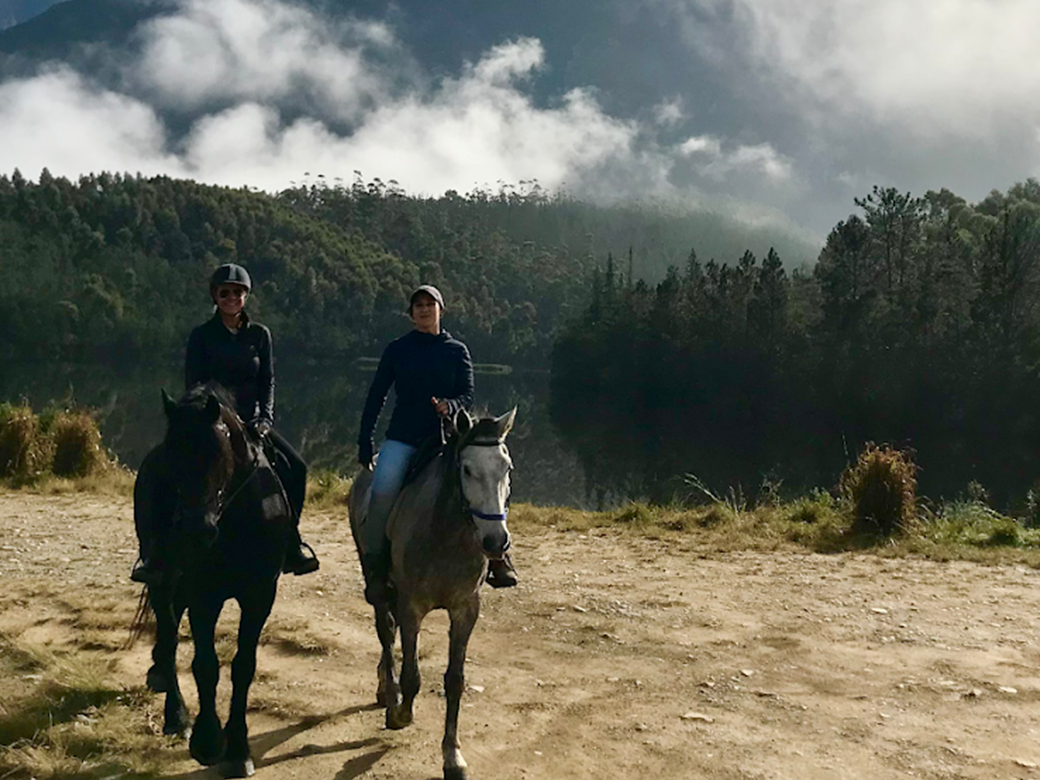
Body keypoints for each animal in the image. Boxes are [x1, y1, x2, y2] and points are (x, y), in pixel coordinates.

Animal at [133, 386, 293, 780]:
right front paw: (207, 741)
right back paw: (175, 714)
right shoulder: (204, 595)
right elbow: (205, 665)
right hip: (163, 578)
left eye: (219, 454)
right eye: (172, 456)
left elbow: (243, 666)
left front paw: (238, 748)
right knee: (169, 633)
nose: (196, 531)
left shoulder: (259, 595)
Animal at [349, 409, 515, 780]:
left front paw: (453, 756)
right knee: (386, 630)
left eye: (507, 468)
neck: (446, 534)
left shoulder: (466, 610)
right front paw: (400, 714)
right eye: (466, 469)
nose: (496, 541)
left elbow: (455, 681)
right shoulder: (413, 606)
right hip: (378, 582)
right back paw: (389, 691)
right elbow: (412, 675)